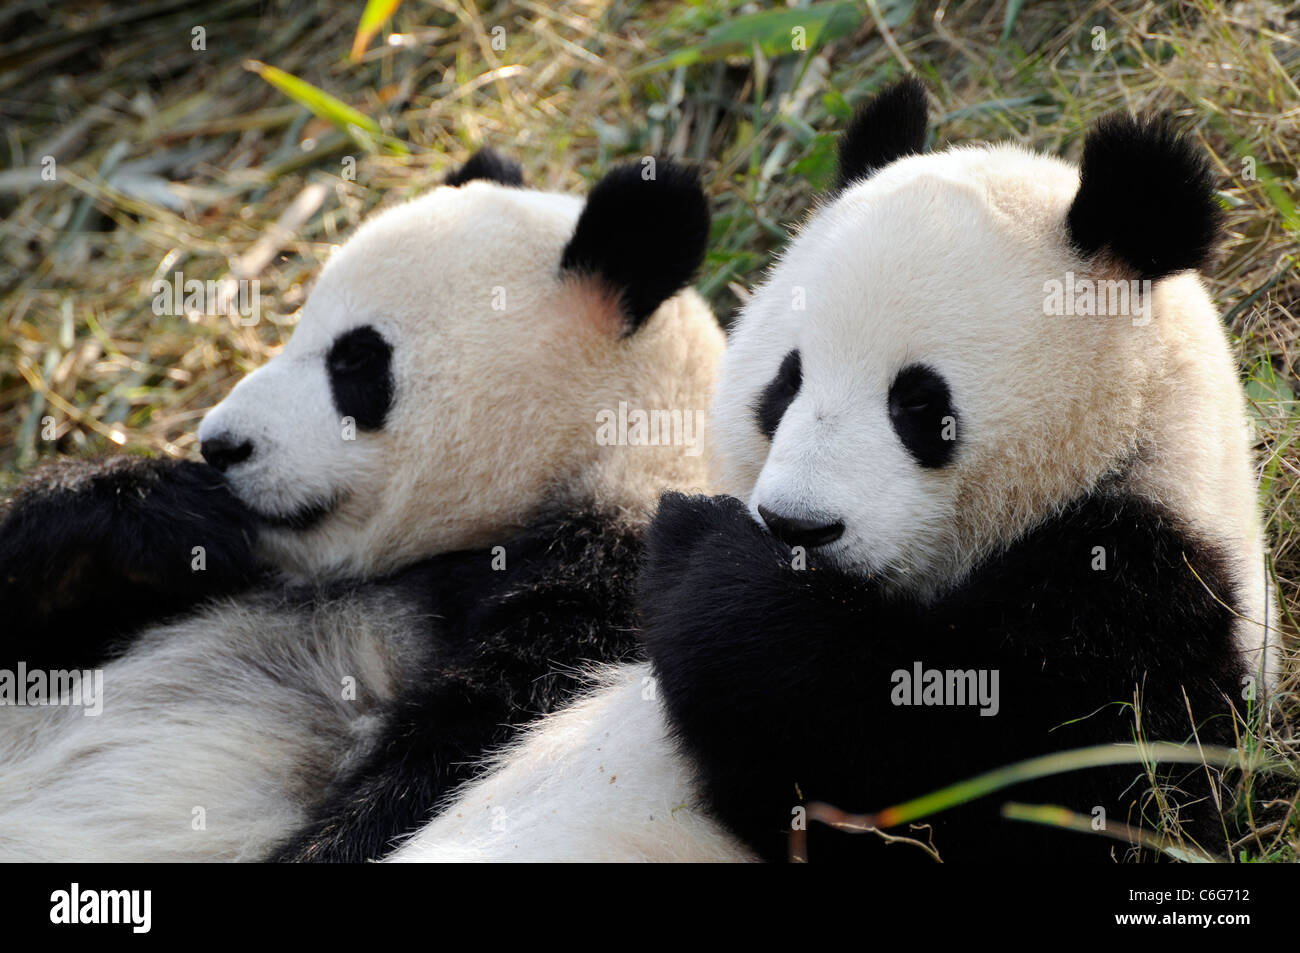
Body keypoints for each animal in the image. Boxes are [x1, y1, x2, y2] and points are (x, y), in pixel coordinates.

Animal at [390, 83, 1274, 863]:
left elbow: (1041, 791)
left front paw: (704, 552)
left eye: (920, 404)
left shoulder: (1142, 591)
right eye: (785, 382)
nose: (796, 526)